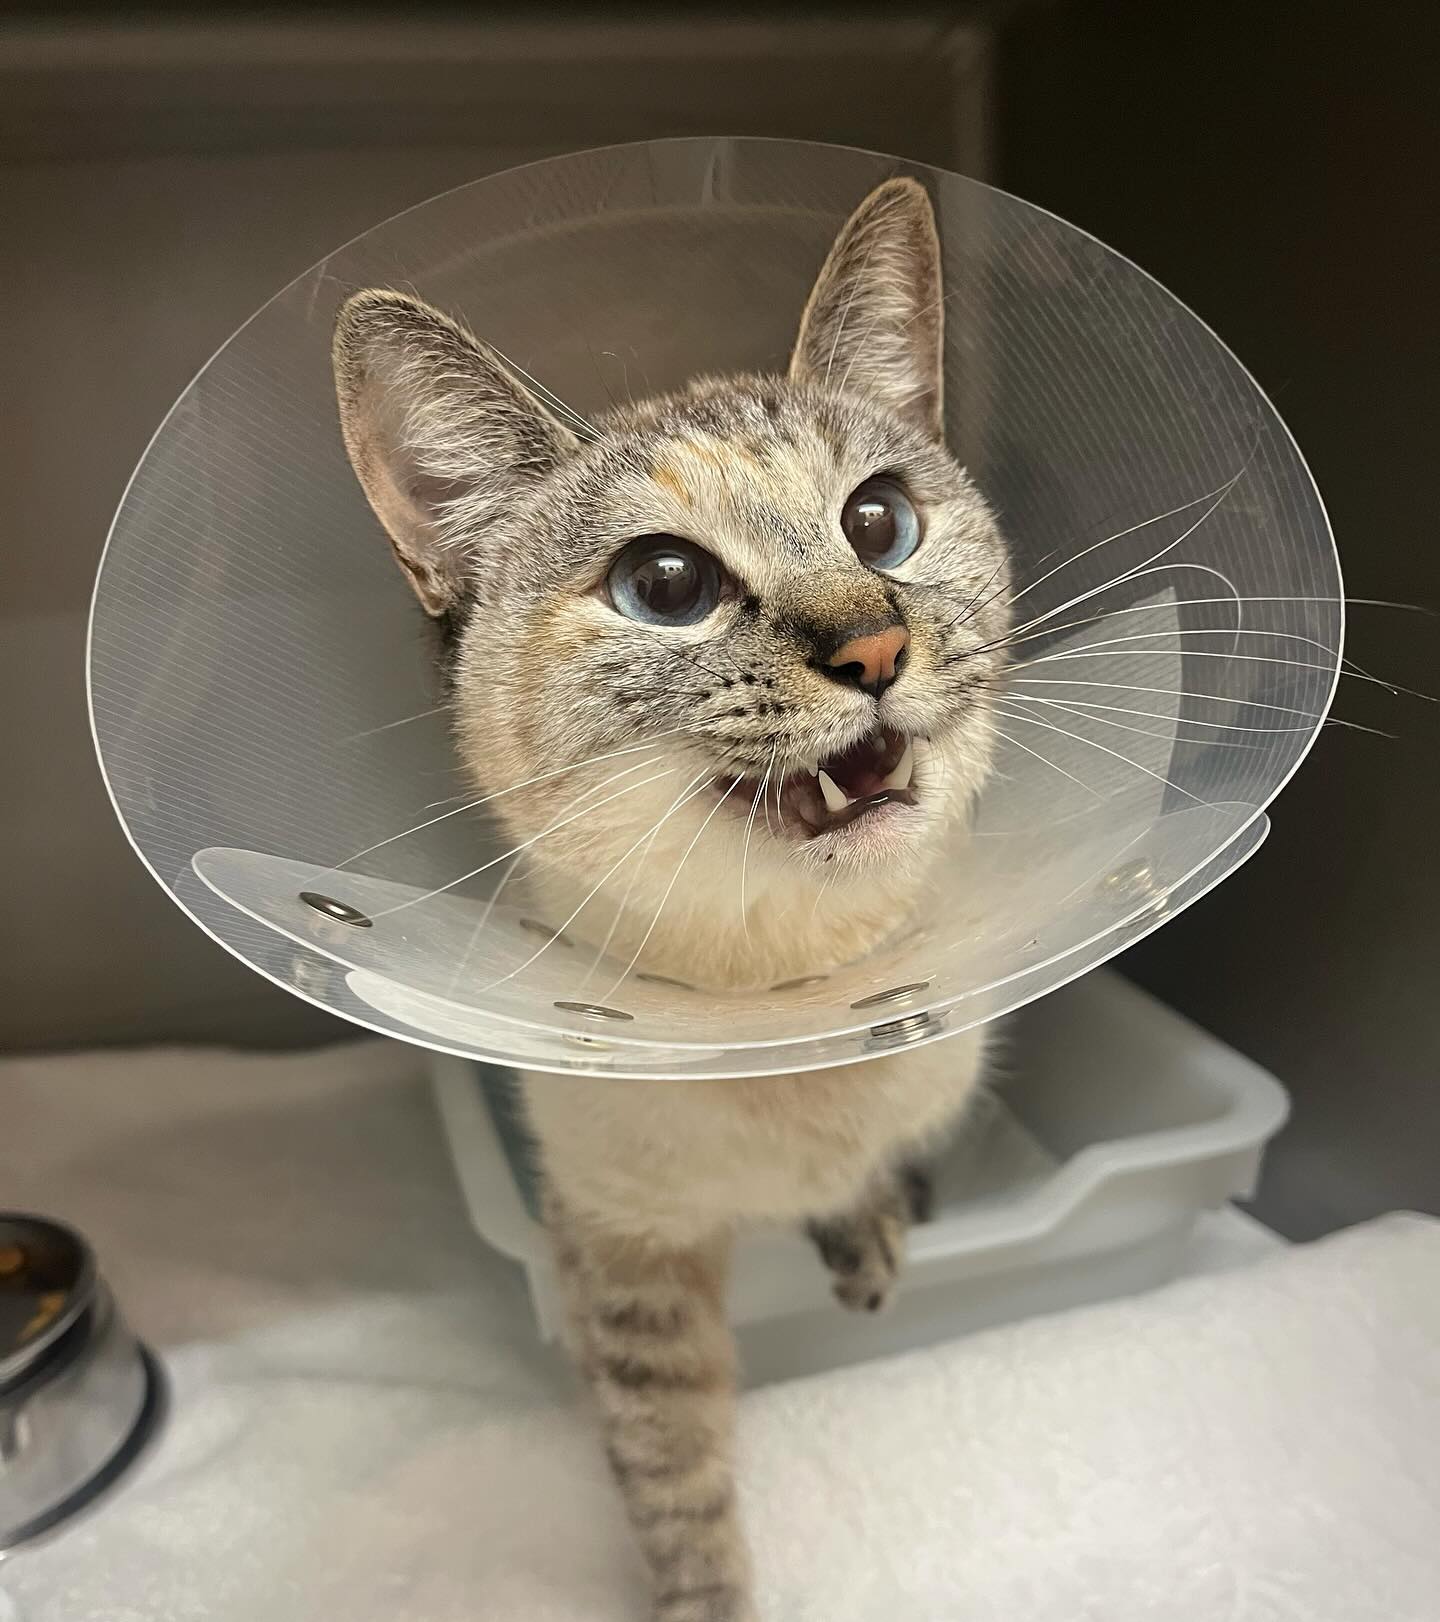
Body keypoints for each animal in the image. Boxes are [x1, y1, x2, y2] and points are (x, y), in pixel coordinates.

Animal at [333, 176, 1011, 1622]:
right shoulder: (625, 1252)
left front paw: (870, 1240)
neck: (788, 1001)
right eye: (665, 585)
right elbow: (675, 1477)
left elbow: (866, 1176)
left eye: (880, 521)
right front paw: (708, 1599)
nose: (876, 647)